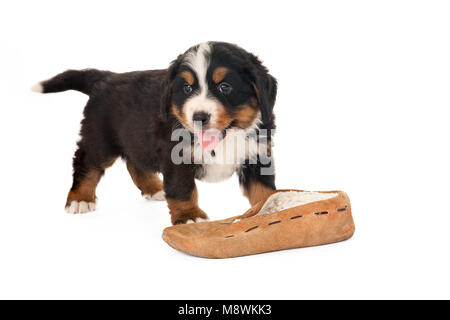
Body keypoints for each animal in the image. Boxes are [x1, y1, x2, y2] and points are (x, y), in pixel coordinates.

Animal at [32, 41, 278, 224]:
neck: (226, 136)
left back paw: (154, 189)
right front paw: (189, 217)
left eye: (224, 87)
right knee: (86, 164)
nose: (199, 117)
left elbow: (262, 188)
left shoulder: (257, 154)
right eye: (187, 88)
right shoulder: (176, 157)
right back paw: (80, 199)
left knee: (135, 163)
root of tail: (107, 77)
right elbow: (183, 190)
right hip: (99, 139)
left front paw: (272, 206)